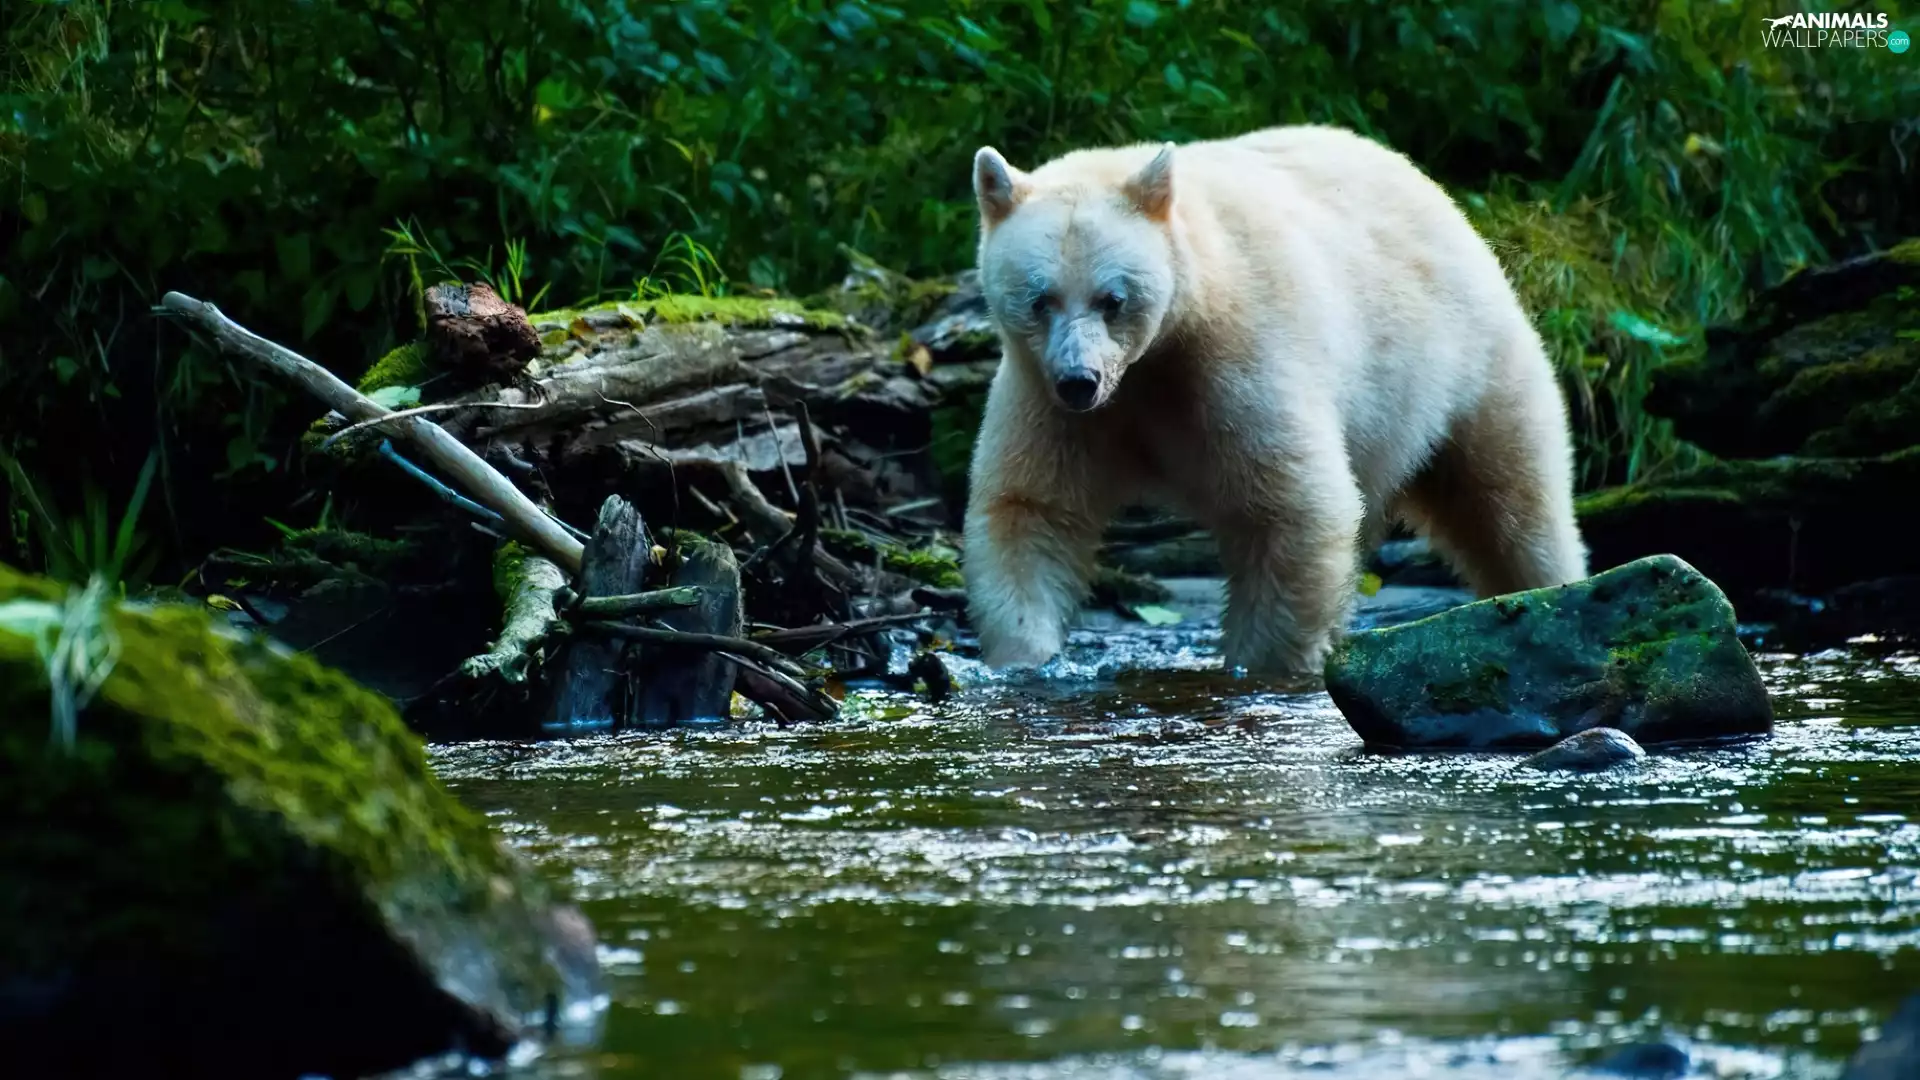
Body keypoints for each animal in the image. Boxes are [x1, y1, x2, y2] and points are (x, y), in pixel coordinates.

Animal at [961, 124, 1589, 675]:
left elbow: (1292, 505)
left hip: (1460, 362)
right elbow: (1032, 507)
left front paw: (1262, 663)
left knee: (1511, 498)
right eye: (1040, 299)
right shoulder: (1046, 395)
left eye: (1112, 299)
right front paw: (1025, 655)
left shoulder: (1238, 362)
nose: (1080, 380)